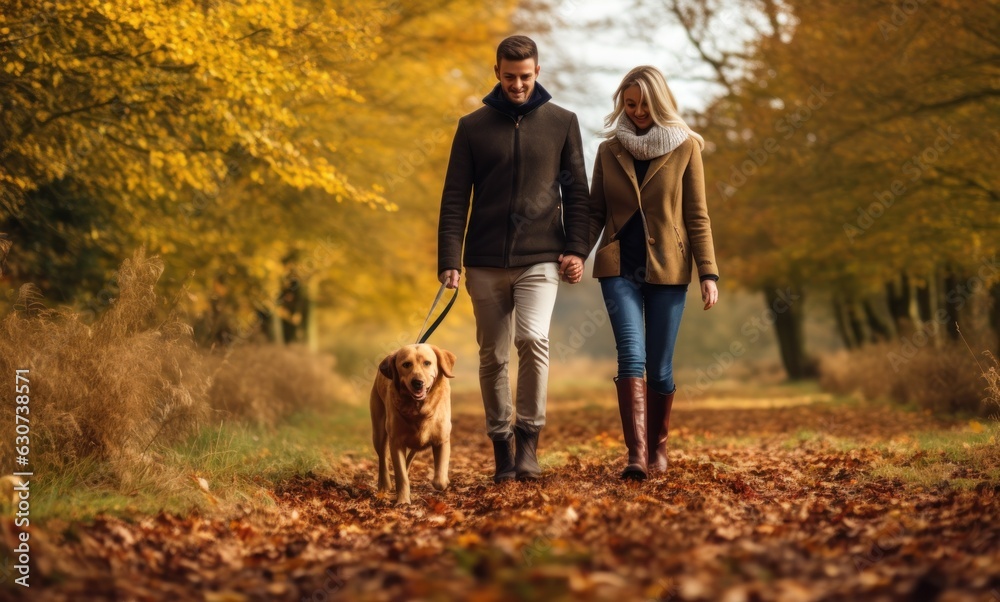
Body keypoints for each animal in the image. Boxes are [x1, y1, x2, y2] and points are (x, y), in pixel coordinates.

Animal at [372, 342, 458, 502]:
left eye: (427, 363)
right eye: (406, 364)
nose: (418, 383)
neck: (418, 408)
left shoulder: (442, 440)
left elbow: (440, 480)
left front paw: (444, 482)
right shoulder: (396, 443)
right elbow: (401, 477)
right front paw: (403, 501)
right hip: (378, 432)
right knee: (382, 458)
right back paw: (384, 485)